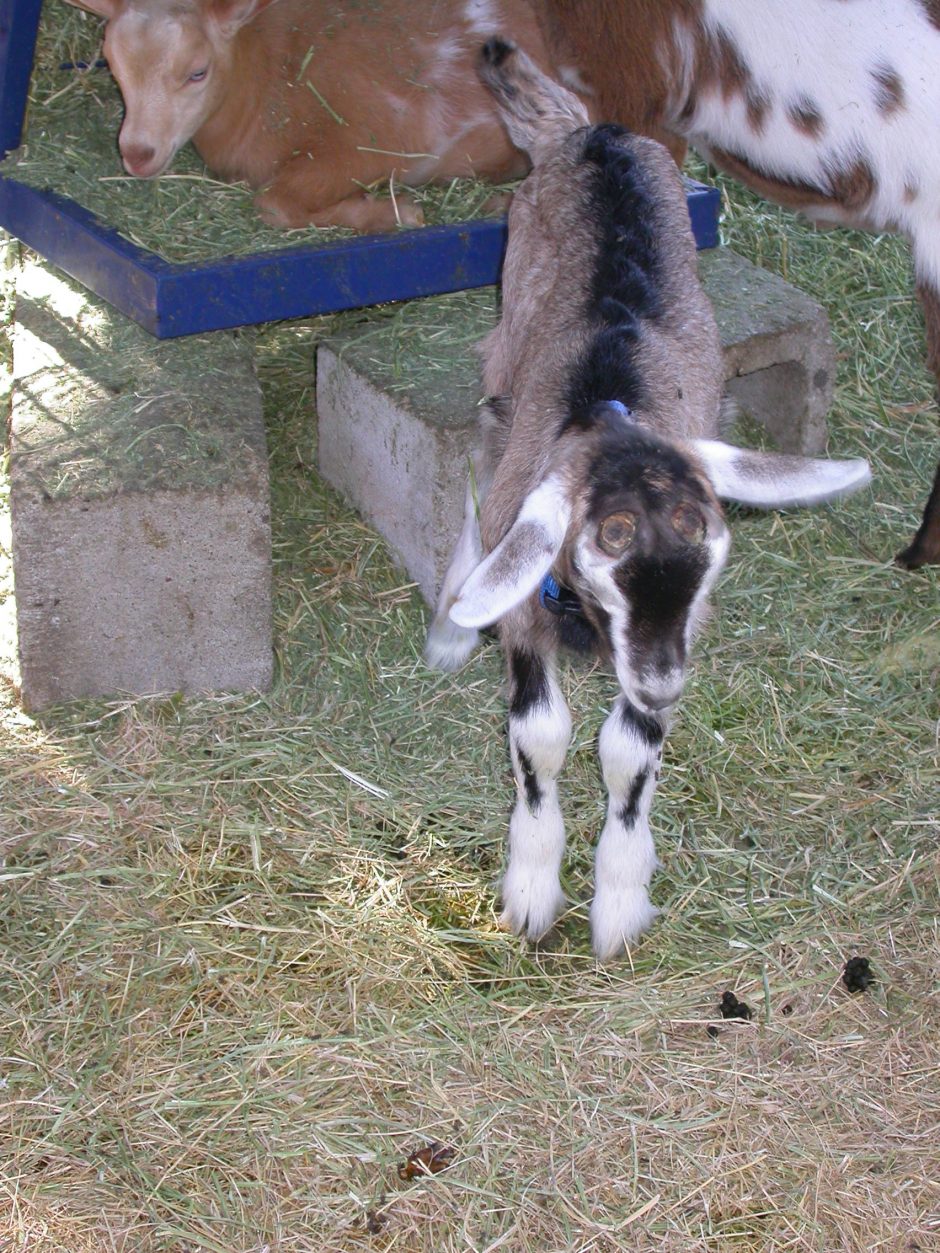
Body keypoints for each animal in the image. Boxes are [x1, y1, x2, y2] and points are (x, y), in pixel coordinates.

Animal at [63, 0, 558, 232]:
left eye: (197, 72)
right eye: (113, 65)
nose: (137, 153)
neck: (266, 81)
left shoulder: (373, 141)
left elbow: (273, 203)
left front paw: (397, 211)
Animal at [425, 39, 871, 960]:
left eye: (710, 550)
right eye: (607, 538)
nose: (666, 680)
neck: (612, 408)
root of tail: (588, 129)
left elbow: (629, 751)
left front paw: (621, 897)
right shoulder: (531, 608)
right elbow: (541, 736)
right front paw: (532, 889)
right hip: (507, 336)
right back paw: (455, 615)